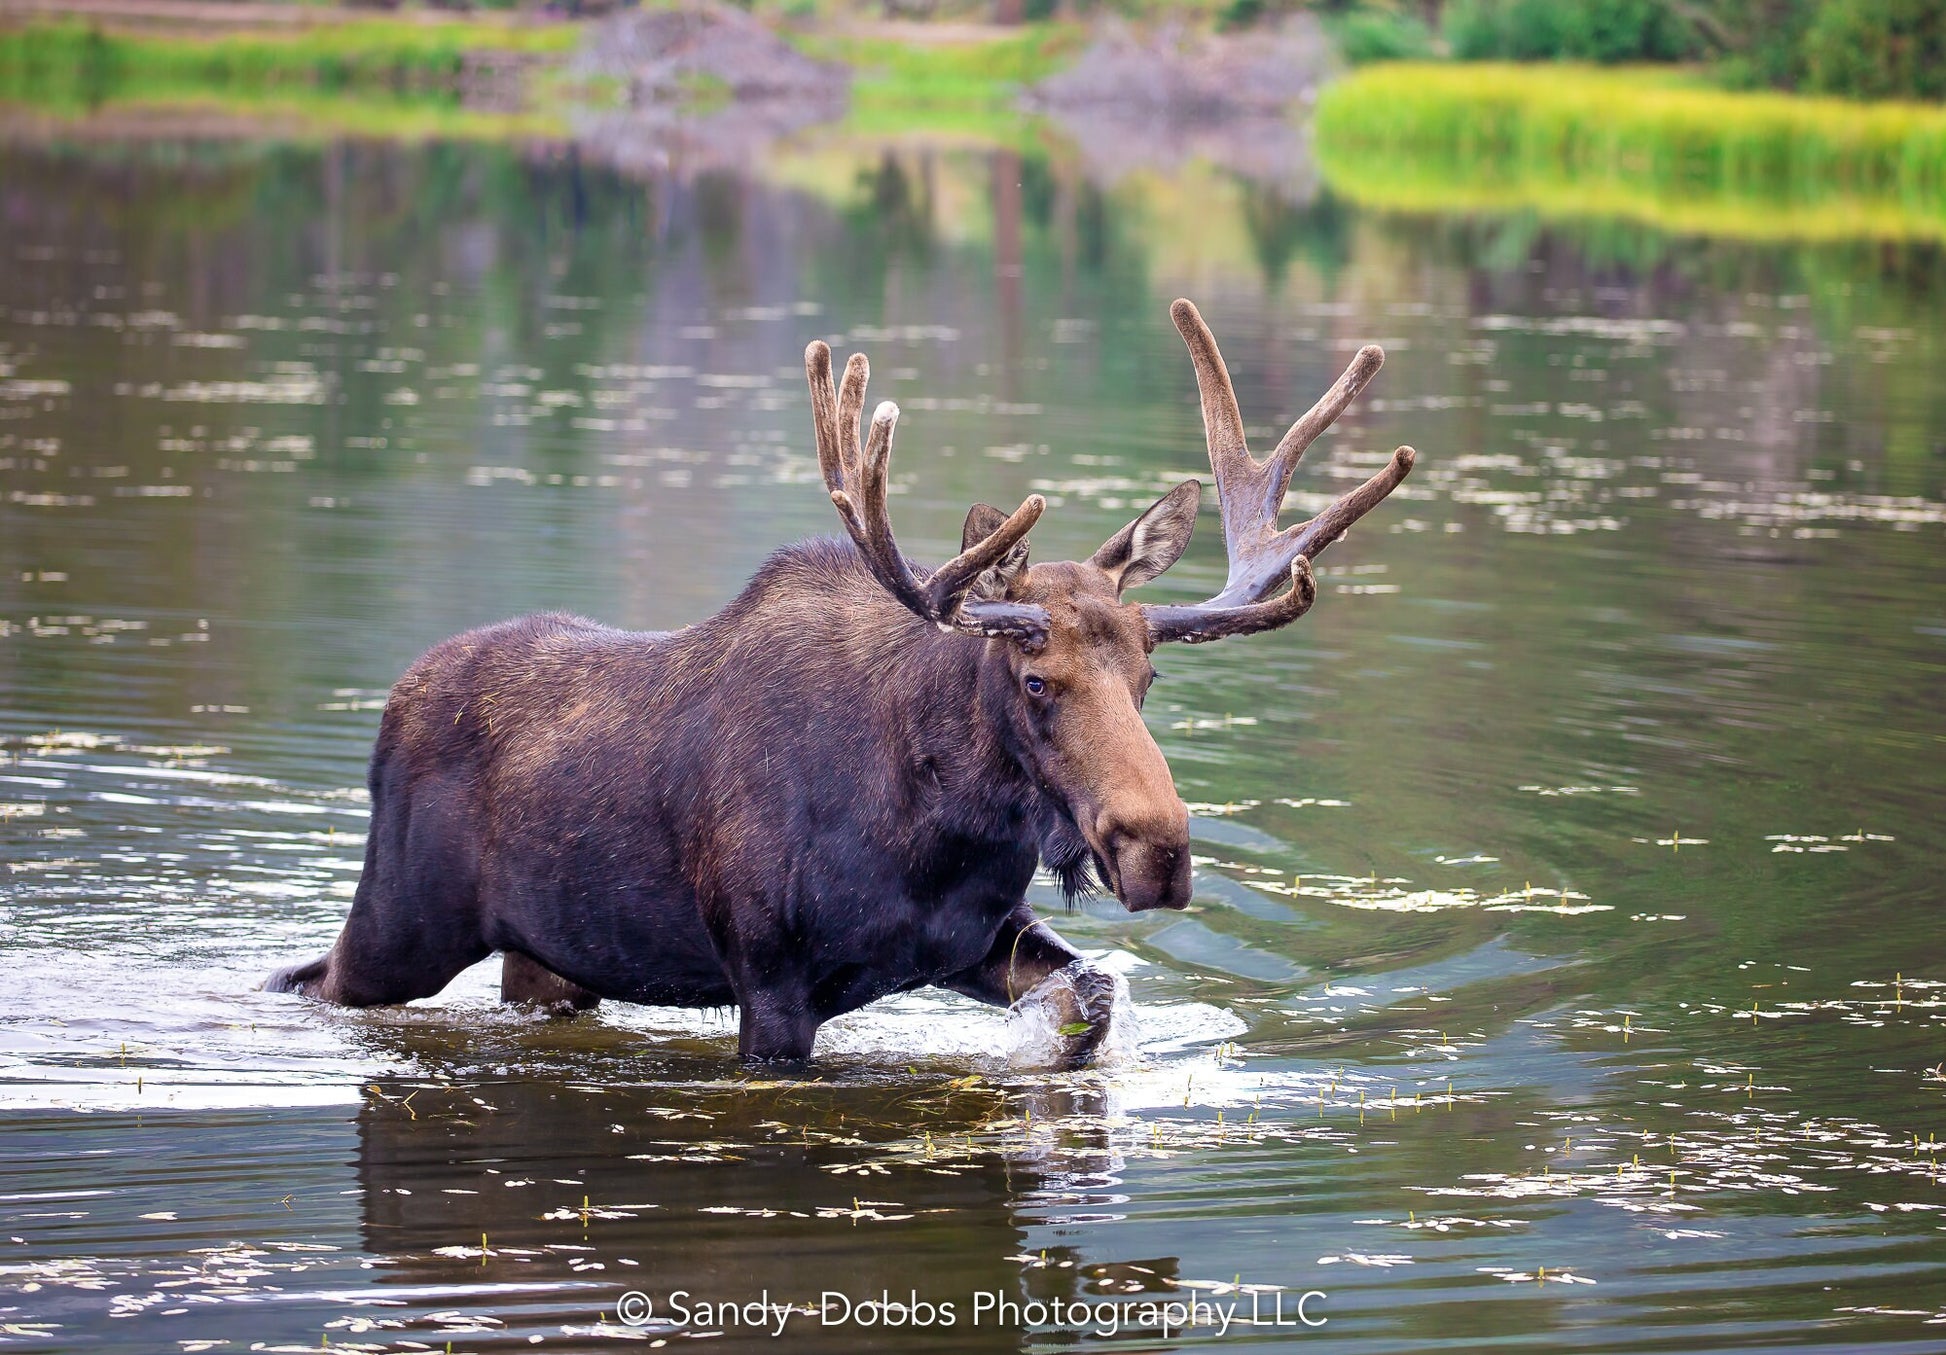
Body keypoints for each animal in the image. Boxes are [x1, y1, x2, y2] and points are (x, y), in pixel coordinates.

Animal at [262, 301, 1416, 1066]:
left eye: (1149, 671)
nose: (1159, 849)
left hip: (555, 953)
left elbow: (1091, 995)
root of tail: (394, 702)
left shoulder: (973, 942)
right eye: (1036, 679)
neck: (941, 831)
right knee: (307, 977)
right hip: (400, 921)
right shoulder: (769, 982)